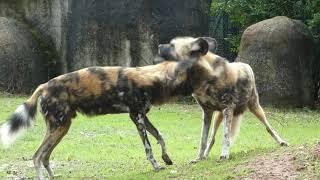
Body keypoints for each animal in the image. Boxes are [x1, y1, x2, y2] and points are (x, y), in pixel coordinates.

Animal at [0, 60, 202, 179]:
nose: (197, 90)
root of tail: (44, 85)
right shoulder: (136, 117)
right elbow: (148, 147)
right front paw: (156, 166)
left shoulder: (142, 116)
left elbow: (160, 136)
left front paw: (166, 158)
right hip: (58, 126)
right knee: (37, 156)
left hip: (62, 127)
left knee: (45, 156)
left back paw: (53, 176)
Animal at [157, 36, 288, 162]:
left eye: (172, 45)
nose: (159, 46)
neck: (205, 79)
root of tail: (245, 65)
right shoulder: (207, 112)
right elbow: (203, 140)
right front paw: (199, 158)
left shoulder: (227, 109)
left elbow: (226, 137)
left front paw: (224, 155)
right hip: (218, 117)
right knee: (212, 137)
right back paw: (205, 155)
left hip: (255, 108)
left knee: (269, 127)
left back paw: (281, 142)